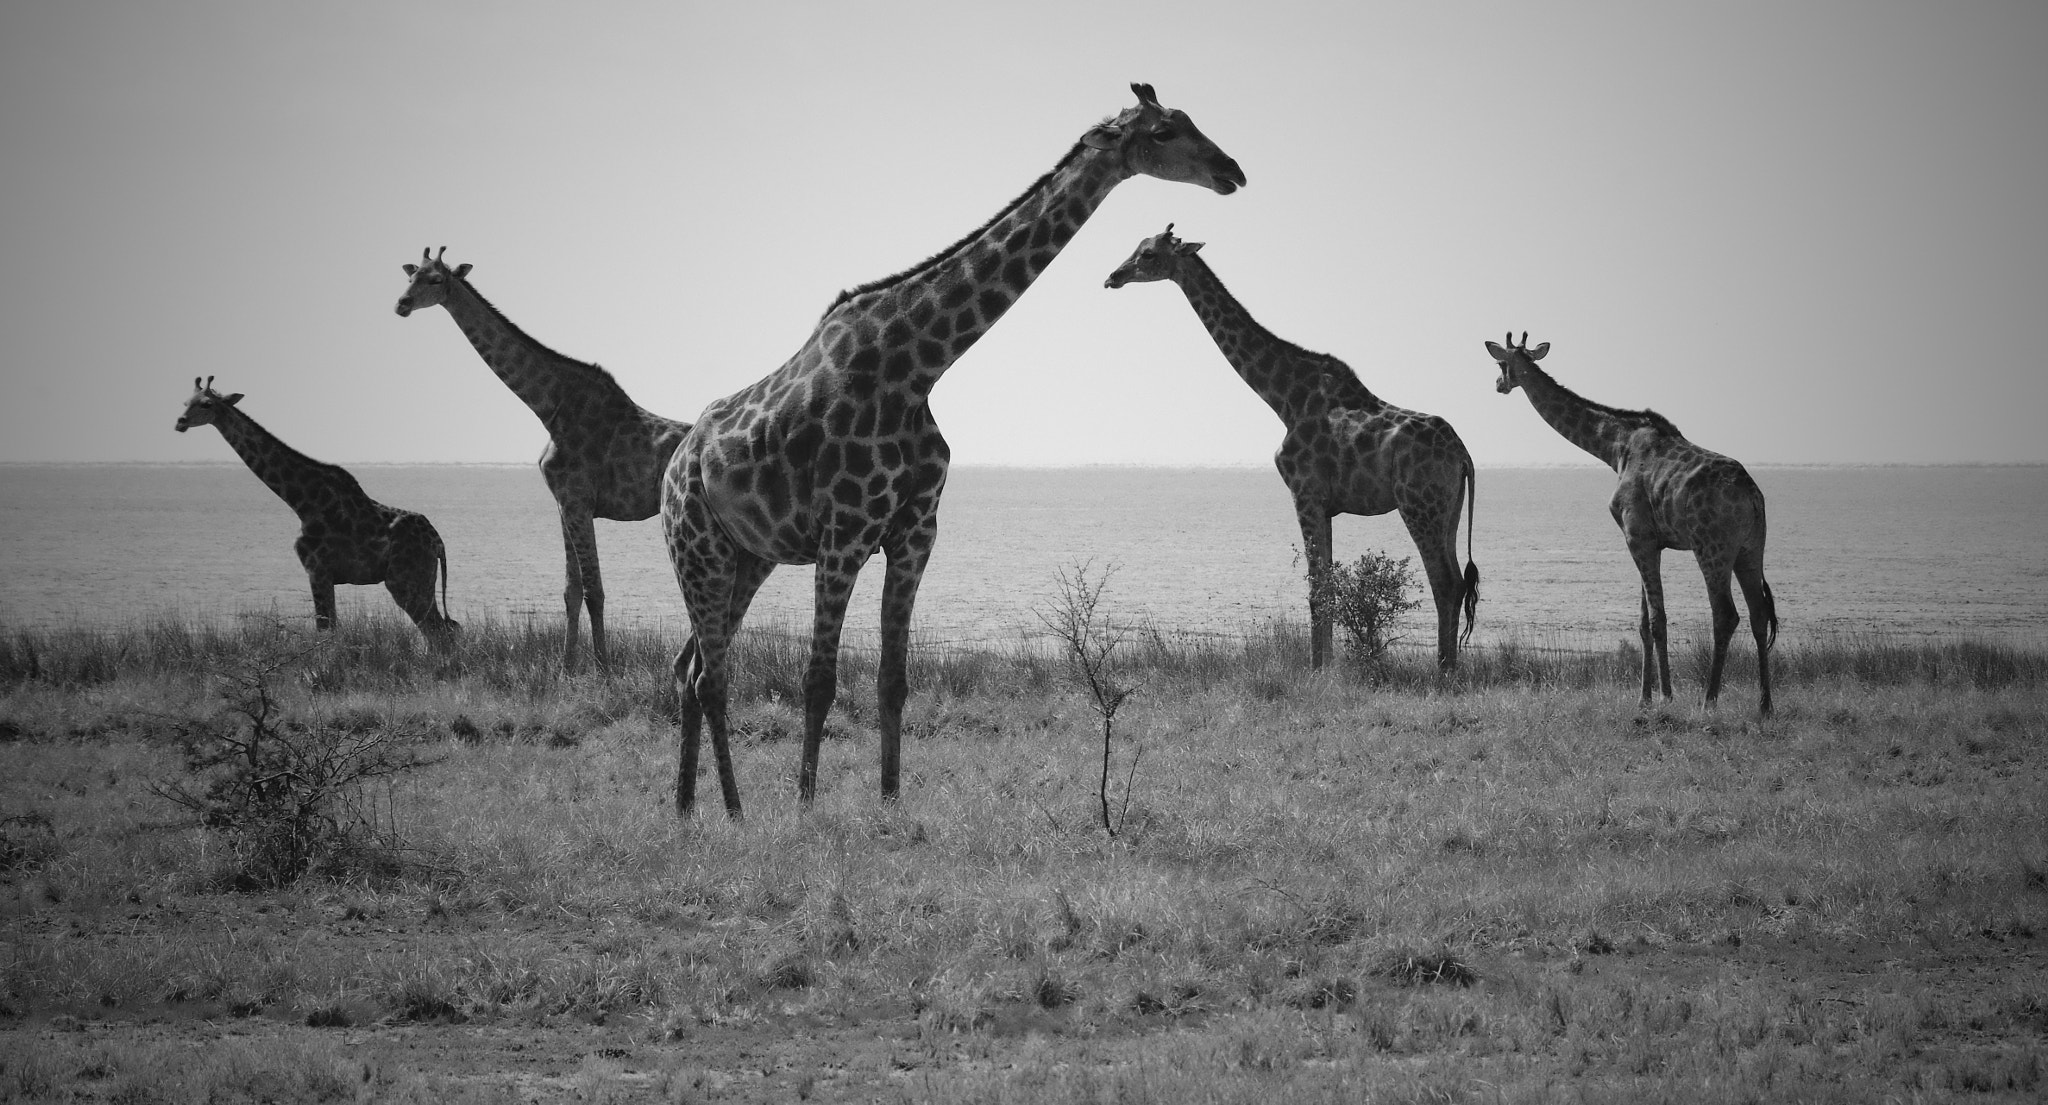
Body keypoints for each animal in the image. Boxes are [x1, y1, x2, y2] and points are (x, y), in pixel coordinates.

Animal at [174, 376, 458, 647]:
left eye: (206, 404)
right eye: (186, 402)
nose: (180, 422)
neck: (301, 501)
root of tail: (439, 543)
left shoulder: (317, 569)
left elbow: (325, 631)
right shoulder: (323, 574)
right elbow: (329, 630)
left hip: (404, 579)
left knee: (439, 633)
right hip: (420, 578)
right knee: (444, 631)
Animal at [395, 248, 692, 672]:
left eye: (435, 279)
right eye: (411, 276)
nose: (401, 305)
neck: (549, 407)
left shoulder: (578, 501)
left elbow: (594, 590)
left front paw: (603, 668)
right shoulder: (563, 504)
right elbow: (572, 590)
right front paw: (566, 668)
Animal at [665, 83, 1245, 817]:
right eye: (1166, 131)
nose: (1233, 171)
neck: (917, 365)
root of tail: (675, 463)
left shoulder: (915, 533)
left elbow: (892, 680)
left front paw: (890, 805)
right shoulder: (844, 534)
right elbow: (818, 680)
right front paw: (805, 809)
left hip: (748, 557)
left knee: (690, 667)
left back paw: (690, 809)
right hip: (697, 547)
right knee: (710, 675)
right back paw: (735, 813)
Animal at [1105, 224, 1479, 669]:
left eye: (1148, 254)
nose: (1112, 277)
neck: (1283, 397)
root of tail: (1463, 456)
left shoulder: (1305, 492)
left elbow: (1318, 588)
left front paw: (1317, 669)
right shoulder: (1325, 503)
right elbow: (1327, 583)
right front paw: (1327, 665)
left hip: (1418, 504)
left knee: (1444, 581)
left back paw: (1443, 671)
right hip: (1449, 507)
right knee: (1457, 582)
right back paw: (1450, 667)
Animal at [1483, 333, 1775, 715]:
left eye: (1501, 362)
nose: (1498, 384)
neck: (1613, 448)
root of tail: (1753, 497)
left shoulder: (1637, 534)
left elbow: (1657, 619)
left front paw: (1665, 696)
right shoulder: (1647, 539)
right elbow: (1643, 622)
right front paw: (1645, 697)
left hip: (1713, 548)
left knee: (1725, 615)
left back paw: (1708, 700)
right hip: (1751, 548)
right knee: (1759, 613)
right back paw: (1765, 704)